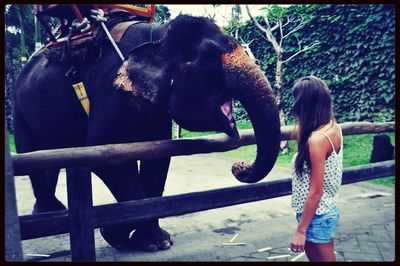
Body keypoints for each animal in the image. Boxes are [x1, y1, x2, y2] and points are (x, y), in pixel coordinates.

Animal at [13, 14, 282, 251]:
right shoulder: (109, 94)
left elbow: (157, 159)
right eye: (208, 61)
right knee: (31, 156)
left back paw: (50, 211)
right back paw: (50, 213)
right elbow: (107, 161)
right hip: (19, 112)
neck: (158, 36)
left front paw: (147, 240)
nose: (239, 166)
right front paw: (122, 235)